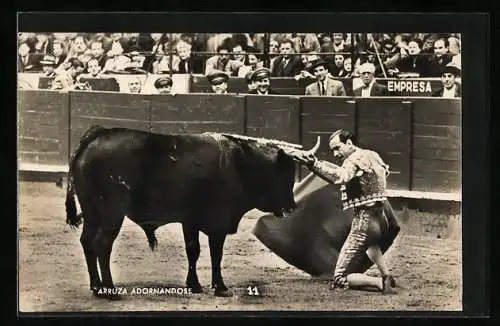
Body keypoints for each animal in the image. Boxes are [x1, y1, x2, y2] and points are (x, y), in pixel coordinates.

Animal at [64, 125, 318, 298]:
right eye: (284, 175)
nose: (292, 206)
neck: (239, 164)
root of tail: (96, 135)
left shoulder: (190, 220)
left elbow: (192, 250)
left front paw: (193, 285)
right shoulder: (218, 222)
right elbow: (216, 254)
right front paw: (220, 287)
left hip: (92, 211)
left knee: (87, 241)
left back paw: (96, 286)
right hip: (112, 211)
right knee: (102, 244)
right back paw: (109, 290)